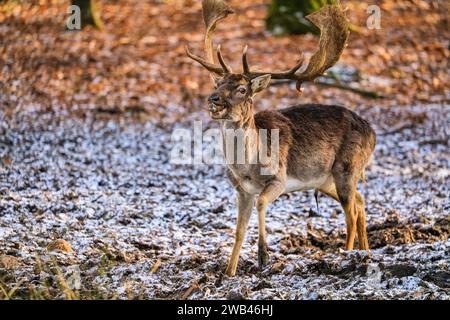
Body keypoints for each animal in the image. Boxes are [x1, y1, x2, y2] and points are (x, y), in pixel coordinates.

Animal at [185, 0, 374, 276]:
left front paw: (263, 256)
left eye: (242, 89)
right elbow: (238, 230)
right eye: (218, 83)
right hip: (325, 179)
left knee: (350, 212)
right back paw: (365, 250)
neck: (247, 167)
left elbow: (262, 203)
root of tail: (373, 133)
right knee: (360, 200)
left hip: (347, 166)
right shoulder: (241, 190)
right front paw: (229, 272)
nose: (213, 99)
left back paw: (348, 253)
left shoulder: (279, 178)